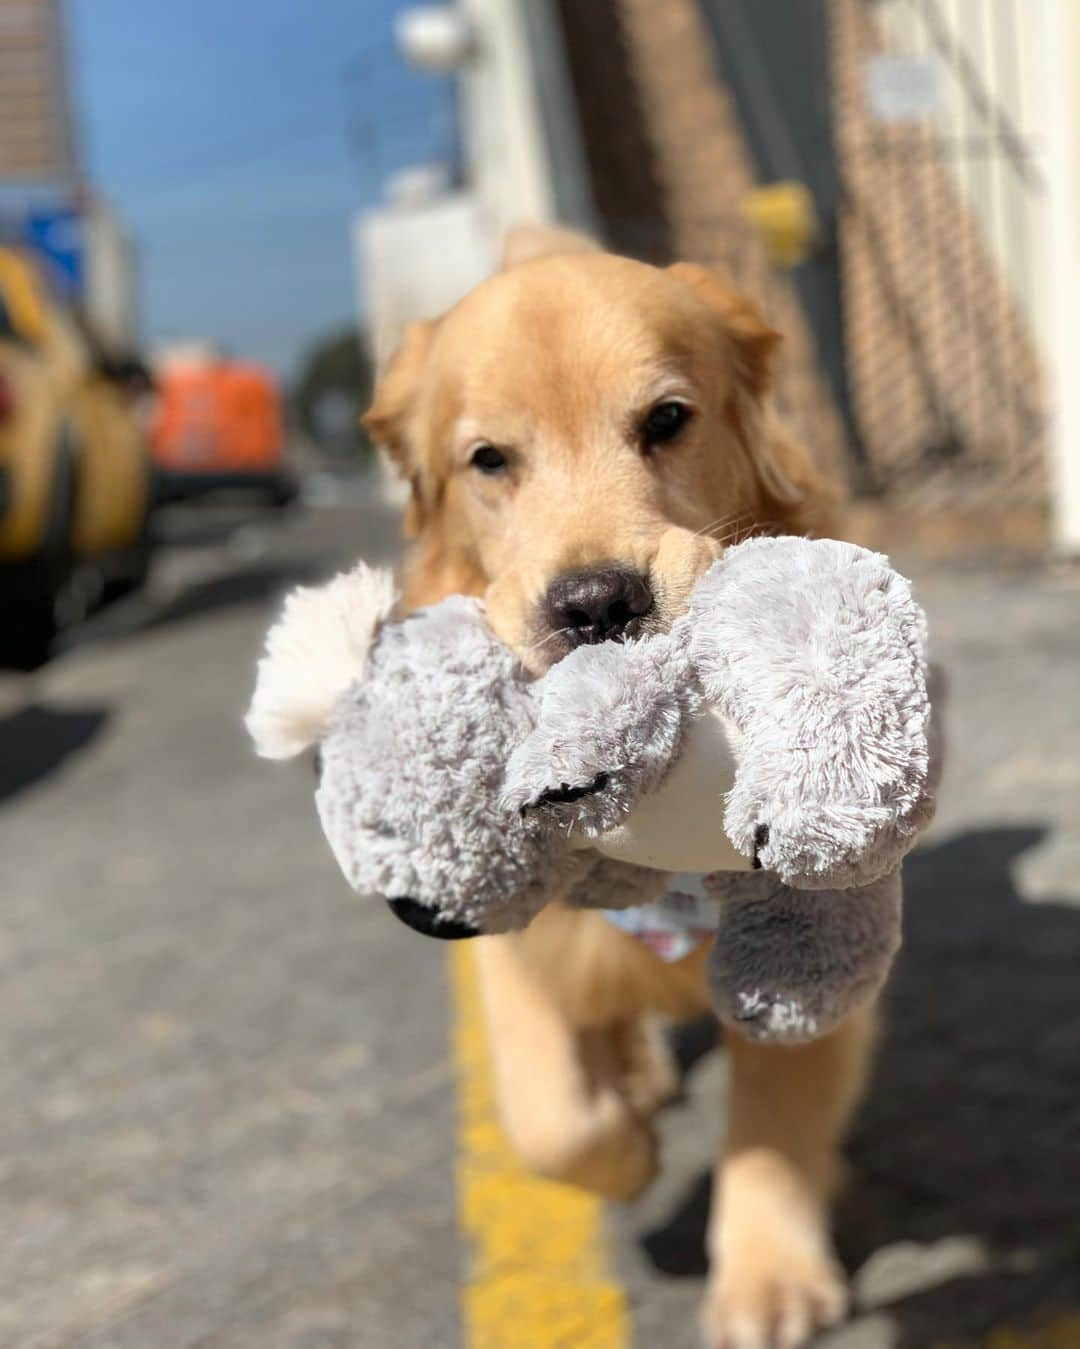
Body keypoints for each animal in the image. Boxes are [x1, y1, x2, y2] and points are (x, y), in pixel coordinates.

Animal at [364, 237, 873, 1343]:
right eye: (489, 460)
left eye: (667, 419)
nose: (596, 602)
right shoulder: (515, 939)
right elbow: (552, 1119)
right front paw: (630, 1154)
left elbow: (776, 1111)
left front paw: (767, 1275)